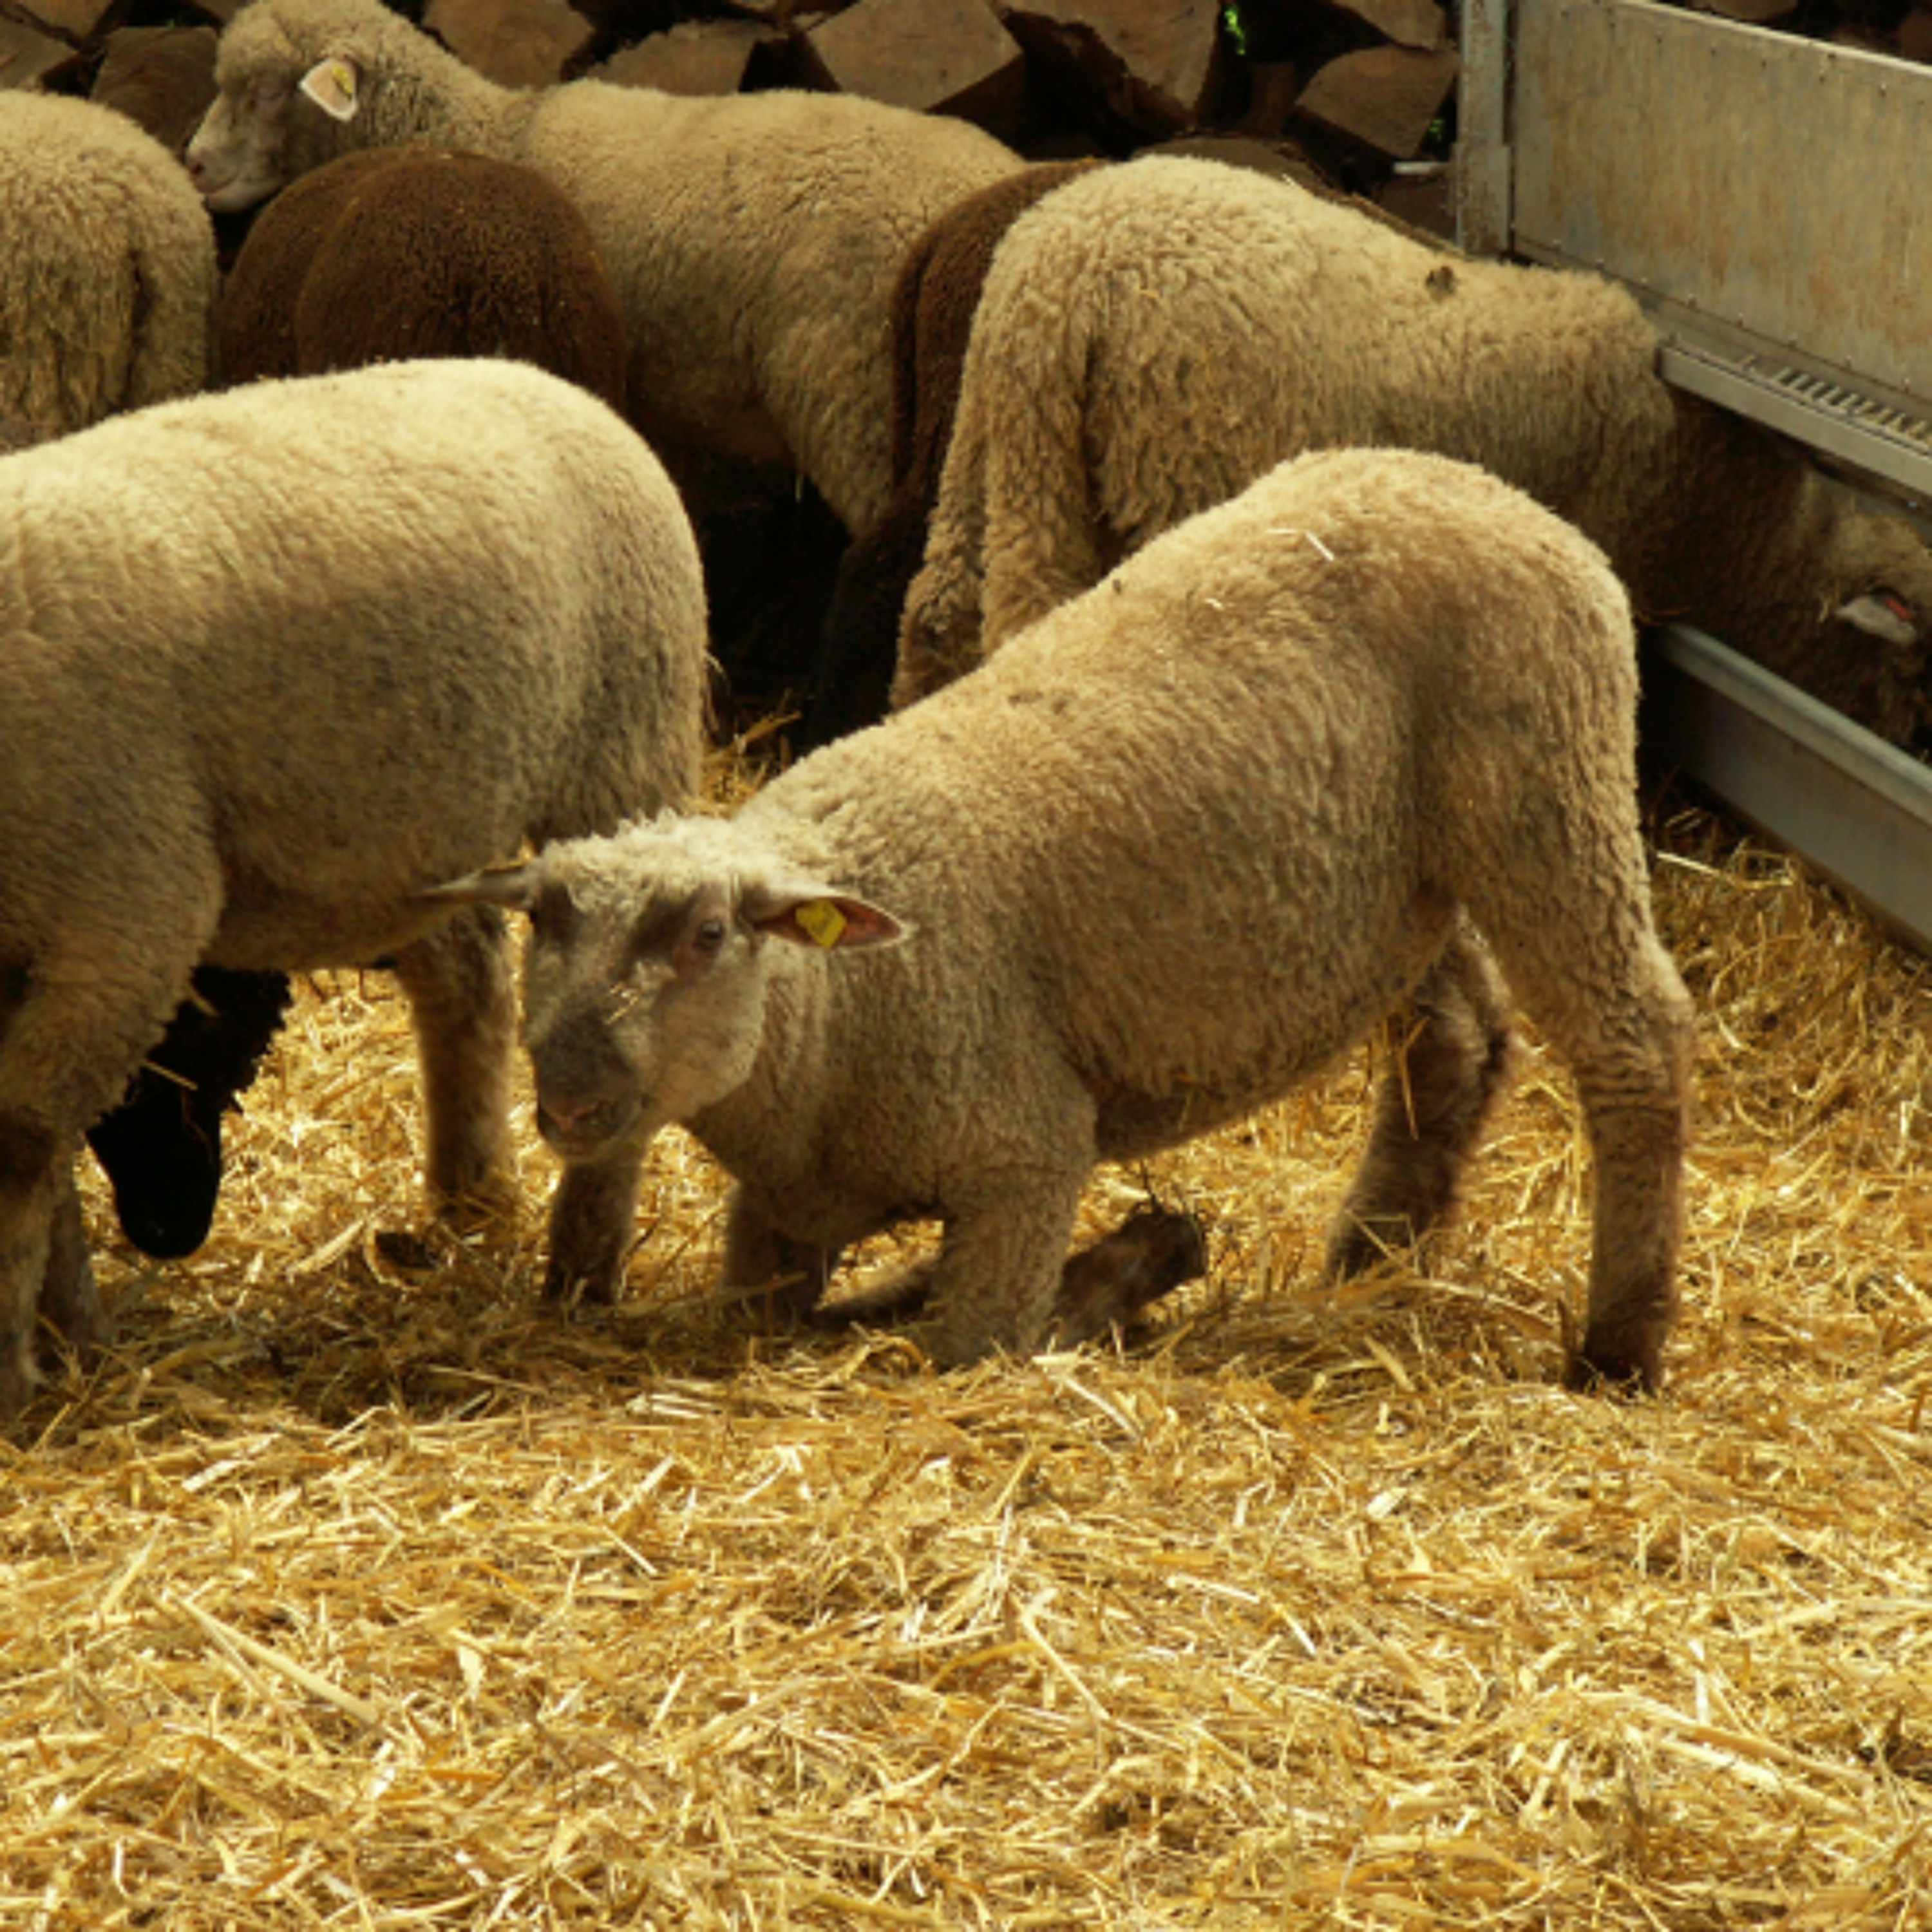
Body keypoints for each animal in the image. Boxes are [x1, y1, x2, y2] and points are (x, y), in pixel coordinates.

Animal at [0, 357, 709, 1423]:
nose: (172, 1233)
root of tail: (545, 379)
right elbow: (49, 1153)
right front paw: (71, 1335)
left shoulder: (126, 910)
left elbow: (21, 1140)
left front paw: (23, 1360)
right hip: (435, 824)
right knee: (470, 983)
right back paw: (470, 1198)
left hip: (624, 755)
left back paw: (583, 1270)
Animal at [432, 448, 1696, 1395]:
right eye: (541, 921)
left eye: (705, 936)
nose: (571, 1098)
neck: (832, 1009)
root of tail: (1498, 493)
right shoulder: (780, 1218)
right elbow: (779, 1319)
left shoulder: (1023, 1161)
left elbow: (973, 1344)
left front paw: (1128, 1271)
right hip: (1410, 886)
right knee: (1460, 1038)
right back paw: (1372, 1261)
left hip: (1547, 789)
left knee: (1637, 1035)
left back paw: (1617, 1348)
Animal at [895, 156, 1932, 752]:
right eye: (1921, 667)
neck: (1743, 527)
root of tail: (1060, 273)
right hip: (1173, 471)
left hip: (990, 448)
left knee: (936, 617)